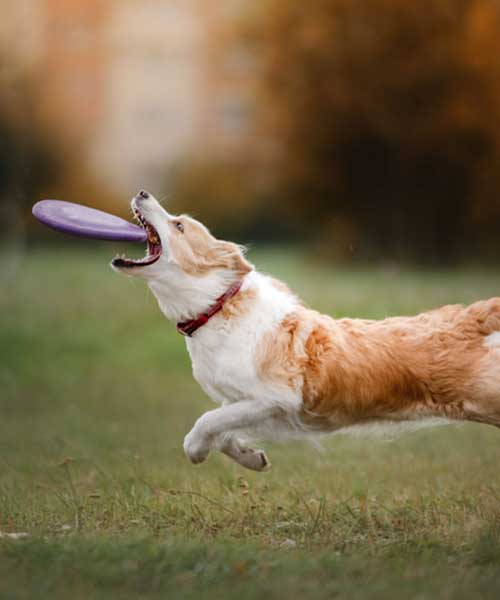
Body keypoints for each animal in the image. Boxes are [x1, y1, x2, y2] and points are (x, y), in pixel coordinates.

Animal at [111, 190, 500, 472]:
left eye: (178, 225)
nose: (142, 192)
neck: (217, 306)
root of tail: (476, 317)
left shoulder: (274, 398)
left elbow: (208, 420)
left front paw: (196, 450)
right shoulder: (249, 404)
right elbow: (223, 431)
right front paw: (253, 458)